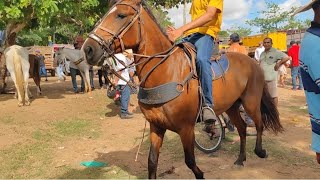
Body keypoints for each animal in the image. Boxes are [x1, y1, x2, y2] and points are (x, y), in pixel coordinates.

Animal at [82, 0, 282, 177]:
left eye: (121, 15)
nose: (88, 50)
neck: (166, 71)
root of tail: (253, 61)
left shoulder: (186, 128)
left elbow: (191, 162)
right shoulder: (156, 126)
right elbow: (152, 161)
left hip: (251, 102)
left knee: (259, 124)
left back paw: (260, 151)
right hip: (232, 106)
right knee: (241, 128)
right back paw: (240, 159)